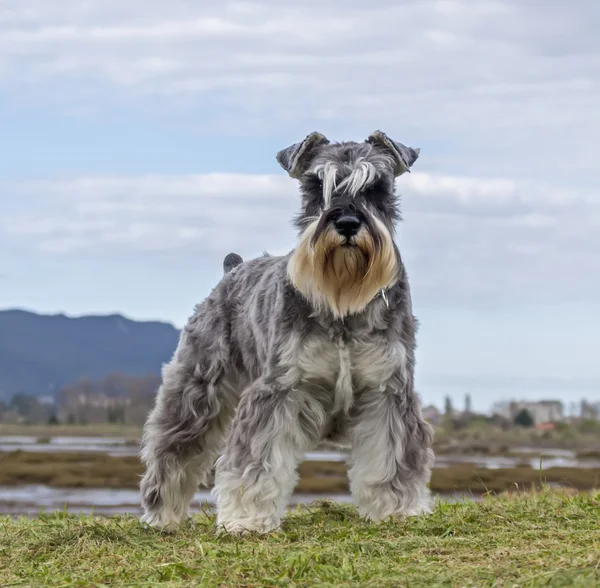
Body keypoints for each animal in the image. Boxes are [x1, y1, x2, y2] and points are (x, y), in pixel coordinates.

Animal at [138, 131, 434, 536]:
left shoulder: (388, 390)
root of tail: (233, 269)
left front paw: (399, 510)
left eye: (377, 187)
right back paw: (162, 515)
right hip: (197, 389)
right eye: (314, 185)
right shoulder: (278, 390)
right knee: (171, 451)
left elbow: (393, 457)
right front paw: (245, 519)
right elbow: (256, 461)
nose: (346, 222)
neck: (342, 302)